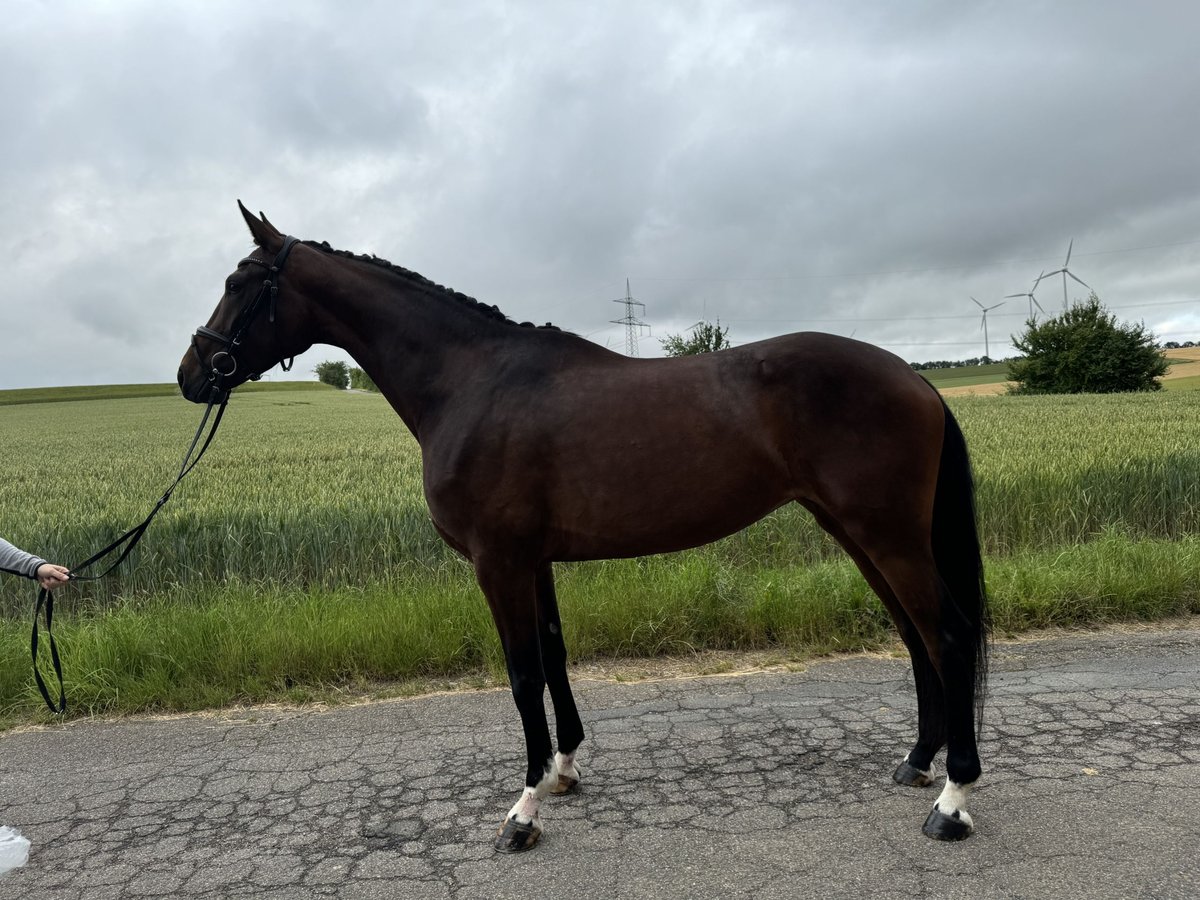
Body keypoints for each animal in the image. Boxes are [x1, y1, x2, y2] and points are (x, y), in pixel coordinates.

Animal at [175, 204, 984, 854]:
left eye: (242, 282)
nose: (191, 374)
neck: (471, 382)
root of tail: (914, 377)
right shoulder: (534, 562)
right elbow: (556, 659)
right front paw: (563, 772)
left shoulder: (498, 563)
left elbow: (522, 673)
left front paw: (523, 812)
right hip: (854, 530)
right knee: (915, 636)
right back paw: (918, 762)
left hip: (885, 534)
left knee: (945, 635)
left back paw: (953, 802)